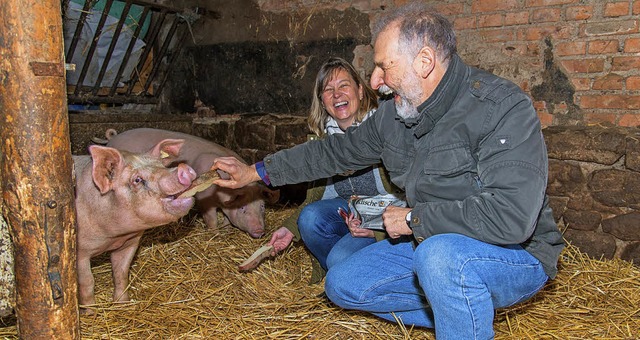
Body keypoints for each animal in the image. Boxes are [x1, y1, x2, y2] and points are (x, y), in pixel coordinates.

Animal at [74, 139, 196, 312]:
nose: (183, 168)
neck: (112, 237)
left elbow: (121, 273)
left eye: (163, 166)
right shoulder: (80, 251)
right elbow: (87, 282)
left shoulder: (130, 243)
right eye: (137, 179)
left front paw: (122, 304)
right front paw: (91, 312)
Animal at [102, 128, 278, 239]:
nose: (259, 231)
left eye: (262, 206)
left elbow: (227, 219)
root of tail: (113, 138)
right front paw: (215, 234)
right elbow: (211, 219)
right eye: (243, 208)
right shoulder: (204, 200)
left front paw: (226, 229)